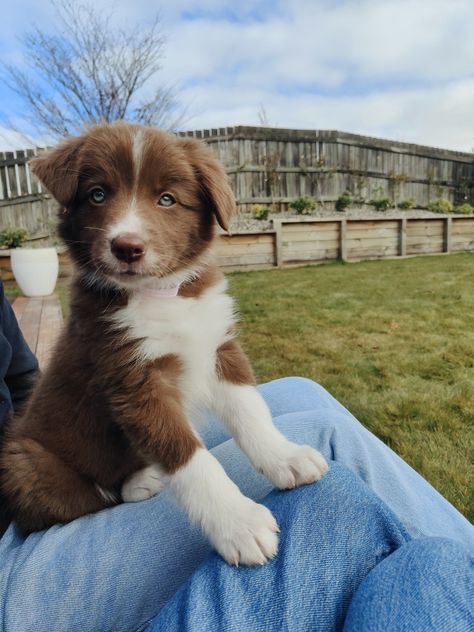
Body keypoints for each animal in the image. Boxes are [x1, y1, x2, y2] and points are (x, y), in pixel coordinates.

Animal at [0, 121, 326, 564]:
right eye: (98, 194)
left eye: (167, 199)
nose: (127, 247)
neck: (162, 296)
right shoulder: (133, 379)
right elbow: (189, 457)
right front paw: (239, 523)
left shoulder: (218, 346)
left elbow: (251, 413)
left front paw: (284, 457)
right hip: (23, 464)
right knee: (79, 499)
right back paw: (138, 482)